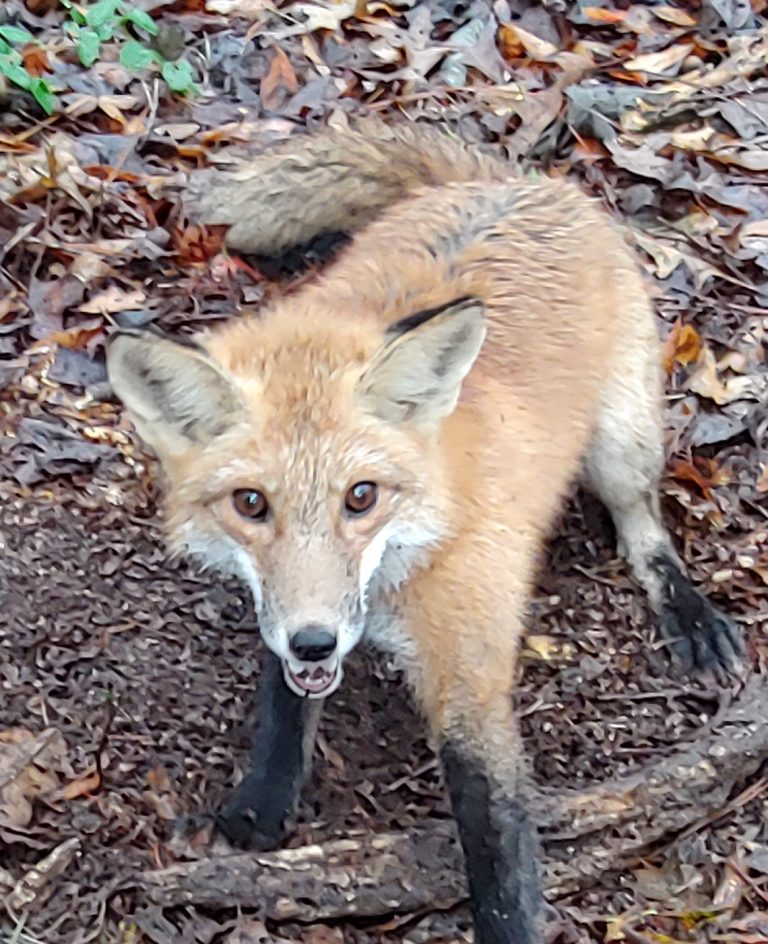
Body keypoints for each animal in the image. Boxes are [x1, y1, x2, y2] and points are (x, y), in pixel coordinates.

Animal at [106, 120, 743, 944]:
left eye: (362, 497)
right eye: (250, 503)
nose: (316, 643)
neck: (397, 575)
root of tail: (518, 182)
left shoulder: (470, 670)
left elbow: (496, 835)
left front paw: (510, 925)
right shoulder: (293, 611)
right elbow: (283, 705)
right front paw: (262, 804)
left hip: (622, 441)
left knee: (643, 527)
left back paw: (687, 611)